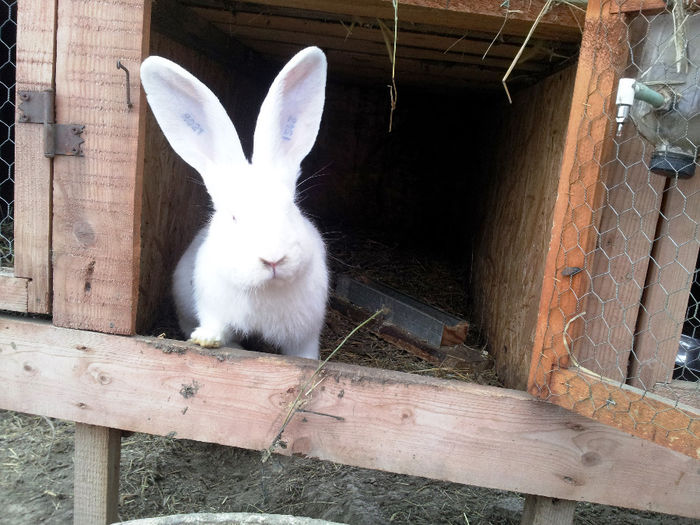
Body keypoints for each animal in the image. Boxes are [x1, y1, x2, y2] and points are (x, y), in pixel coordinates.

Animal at [142, 47, 330, 358]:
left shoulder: (305, 332)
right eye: (233, 218)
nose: (273, 259)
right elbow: (218, 327)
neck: (265, 289)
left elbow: (303, 353)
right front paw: (206, 339)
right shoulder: (213, 307)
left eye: (291, 209)